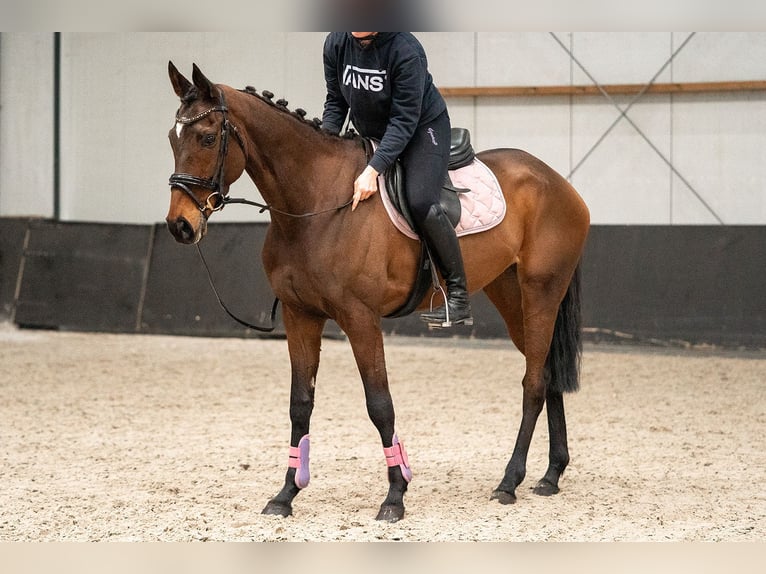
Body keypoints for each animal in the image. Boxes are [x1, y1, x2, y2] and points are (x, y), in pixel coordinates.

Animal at [165, 62, 590, 522]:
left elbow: (379, 403)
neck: (315, 204)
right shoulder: (300, 316)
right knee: (545, 372)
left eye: (208, 138)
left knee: (533, 382)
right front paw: (286, 494)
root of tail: (556, 180)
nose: (180, 226)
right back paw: (551, 475)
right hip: (511, 295)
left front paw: (395, 495)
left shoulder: (360, 318)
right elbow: (300, 404)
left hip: (541, 291)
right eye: (172, 137)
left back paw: (509, 481)